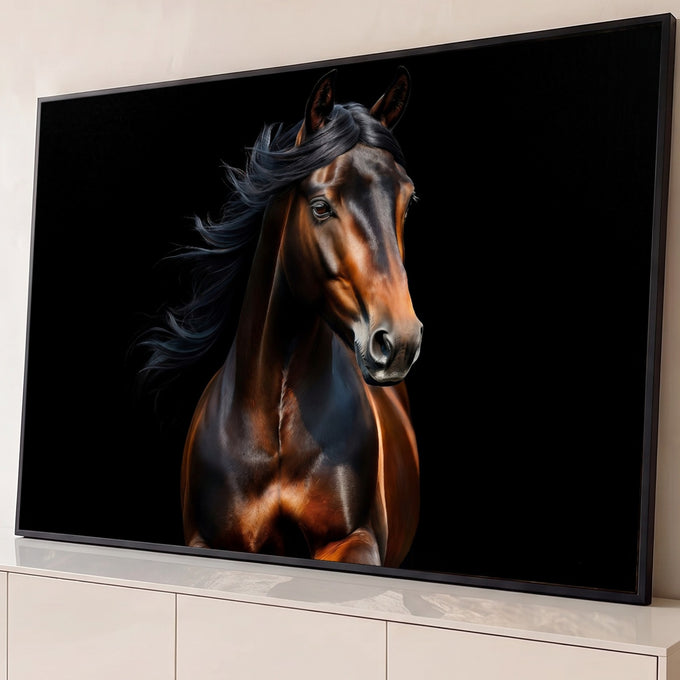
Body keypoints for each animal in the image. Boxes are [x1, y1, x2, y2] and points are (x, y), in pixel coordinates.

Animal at [144, 67, 422, 567]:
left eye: (408, 201)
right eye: (321, 206)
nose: (399, 342)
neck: (274, 435)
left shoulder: (355, 541)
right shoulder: (210, 543)